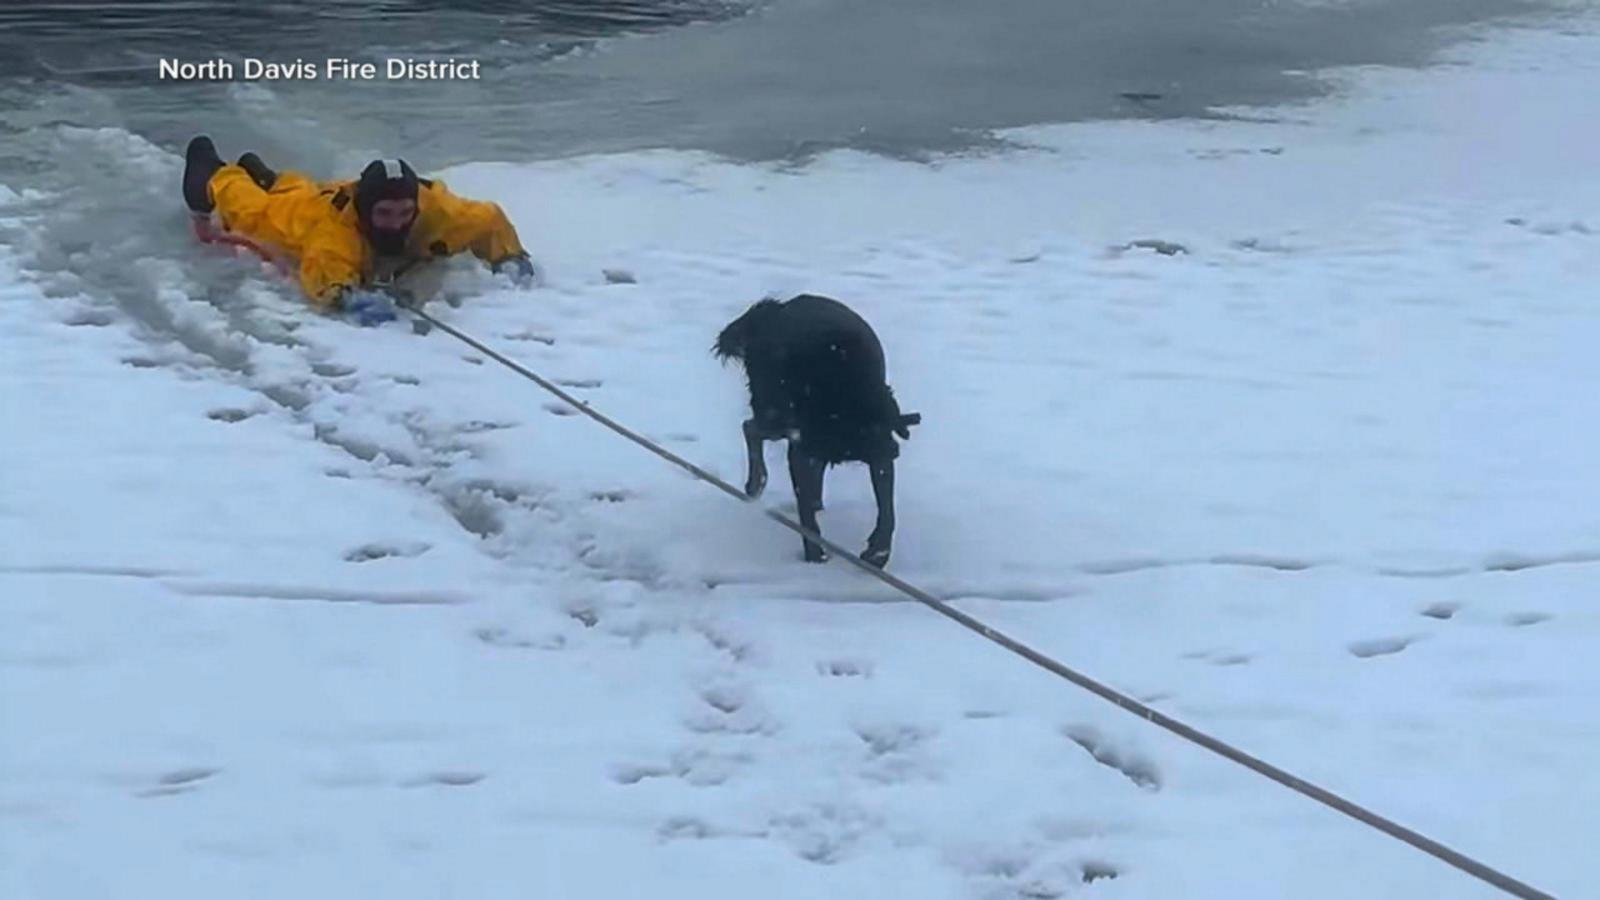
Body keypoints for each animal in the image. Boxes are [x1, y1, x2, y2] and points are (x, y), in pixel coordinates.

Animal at [716, 294, 928, 563]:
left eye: (889, 417)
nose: (894, 449)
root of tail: (777, 309)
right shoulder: (802, 449)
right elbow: (805, 511)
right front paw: (815, 555)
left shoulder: (878, 457)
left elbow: (888, 510)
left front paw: (878, 552)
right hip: (774, 416)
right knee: (750, 428)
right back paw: (756, 483)